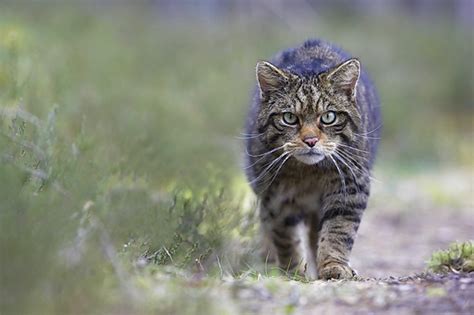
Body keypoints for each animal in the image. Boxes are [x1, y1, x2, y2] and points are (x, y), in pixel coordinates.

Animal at [244, 40, 382, 282]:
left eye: (329, 117)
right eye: (289, 118)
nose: (310, 140)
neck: (309, 173)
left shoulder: (350, 188)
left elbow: (337, 231)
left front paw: (333, 266)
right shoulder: (275, 196)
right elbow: (286, 238)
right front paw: (293, 272)